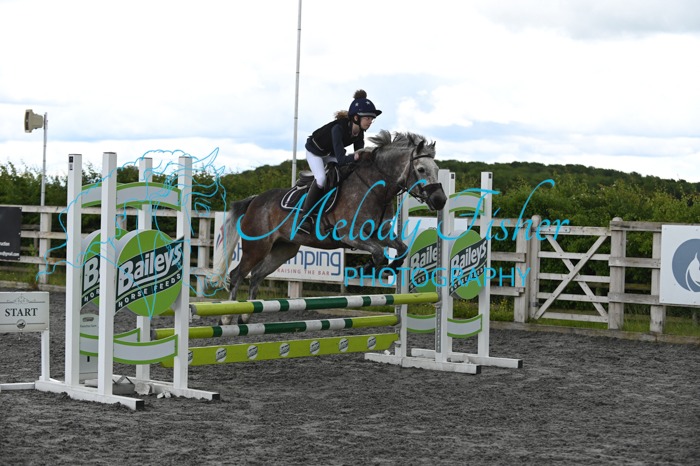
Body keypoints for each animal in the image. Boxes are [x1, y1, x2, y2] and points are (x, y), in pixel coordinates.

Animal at [210, 130, 447, 324]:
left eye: (437, 169)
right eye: (421, 169)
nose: (440, 200)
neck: (374, 188)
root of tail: (254, 201)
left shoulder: (381, 233)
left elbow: (402, 249)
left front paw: (392, 267)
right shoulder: (351, 236)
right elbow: (379, 253)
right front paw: (367, 270)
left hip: (283, 249)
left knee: (257, 275)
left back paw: (245, 315)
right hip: (257, 246)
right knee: (237, 275)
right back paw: (227, 317)